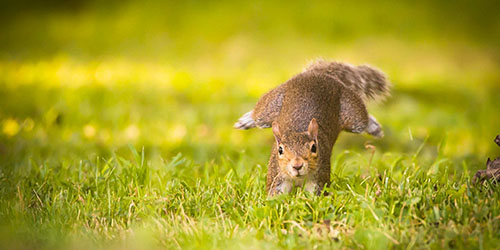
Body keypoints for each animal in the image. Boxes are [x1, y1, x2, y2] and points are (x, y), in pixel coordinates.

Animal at [234, 60, 390, 195]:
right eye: (280, 150)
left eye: (314, 147)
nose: (297, 165)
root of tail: (319, 75)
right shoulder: (276, 177)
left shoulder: (318, 180)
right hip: (273, 102)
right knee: (260, 113)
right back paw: (246, 120)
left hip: (352, 112)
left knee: (363, 119)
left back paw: (373, 126)